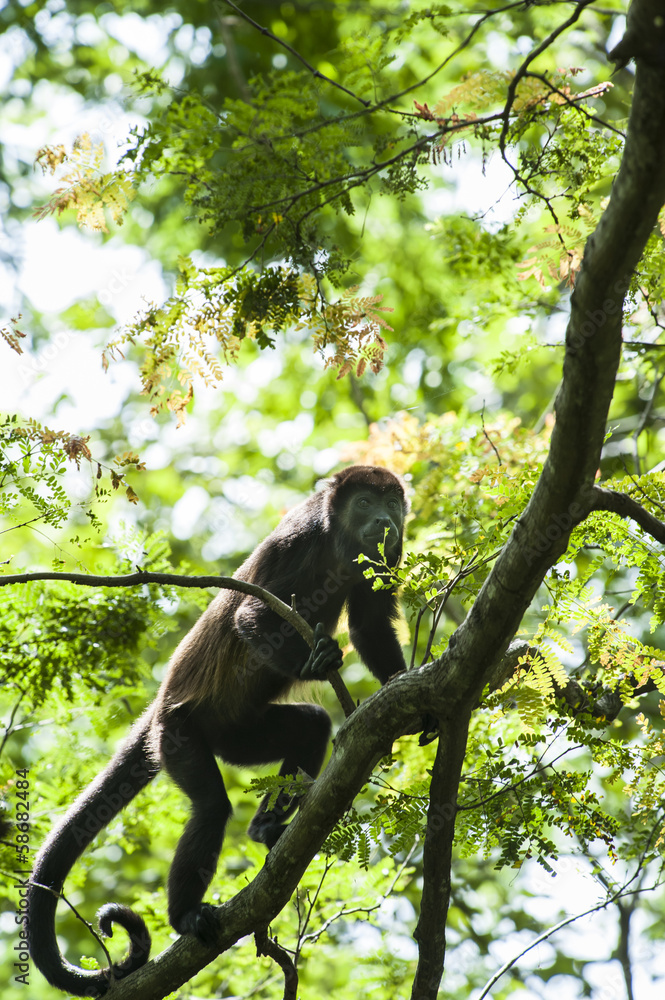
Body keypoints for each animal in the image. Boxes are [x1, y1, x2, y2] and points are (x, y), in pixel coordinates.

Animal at [27, 465, 411, 997]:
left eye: (392, 503)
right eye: (365, 501)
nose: (384, 520)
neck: (337, 542)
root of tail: (160, 707)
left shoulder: (386, 556)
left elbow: (370, 625)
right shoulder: (297, 539)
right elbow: (250, 616)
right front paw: (319, 661)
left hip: (237, 735)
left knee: (310, 728)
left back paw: (265, 827)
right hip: (178, 734)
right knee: (211, 807)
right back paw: (186, 916)